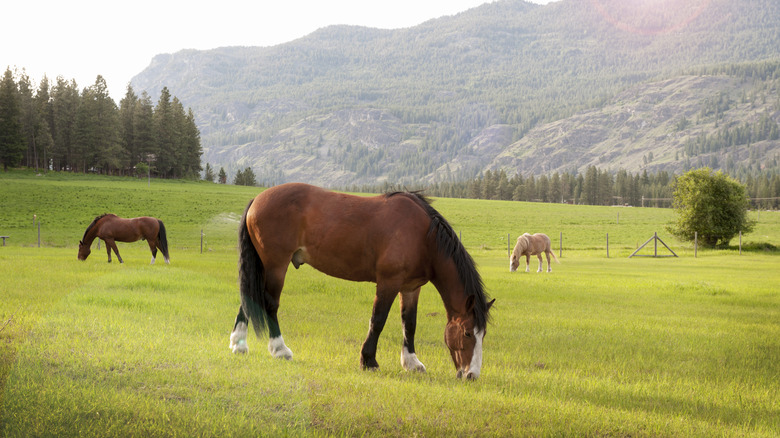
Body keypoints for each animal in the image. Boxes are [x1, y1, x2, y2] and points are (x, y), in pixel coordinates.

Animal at [229, 183, 494, 380]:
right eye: (468, 333)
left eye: (483, 335)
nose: (472, 375)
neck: (423, 237)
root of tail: (257, 199)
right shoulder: (388, 282)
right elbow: (378, 320)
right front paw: (368, 360)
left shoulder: (410, 288)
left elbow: (409, 323)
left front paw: (411, 362)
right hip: (276, 265)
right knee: (269, 304)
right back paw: (279, 349)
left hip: (263, 266)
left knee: (250, 299)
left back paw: (239, 345)